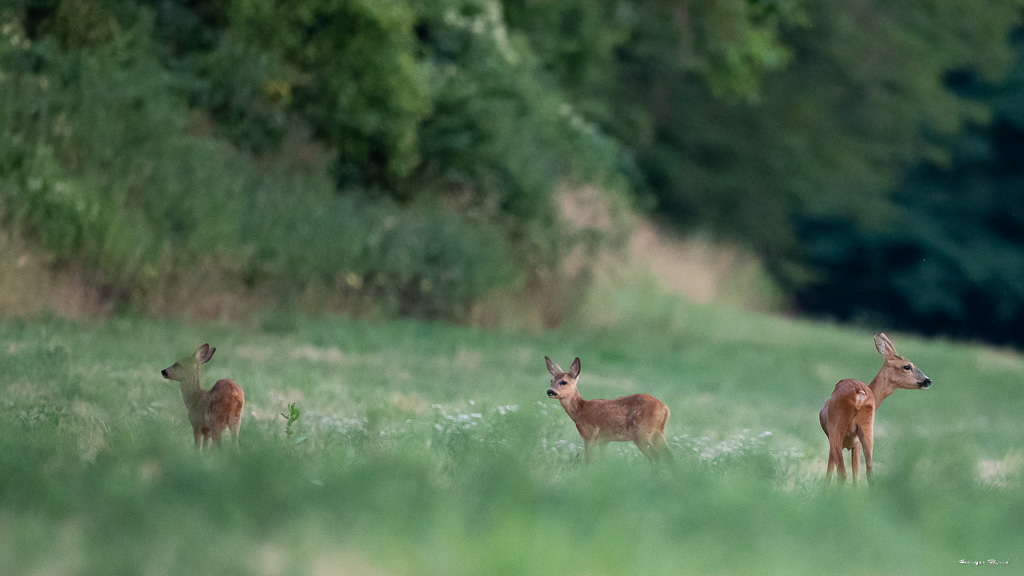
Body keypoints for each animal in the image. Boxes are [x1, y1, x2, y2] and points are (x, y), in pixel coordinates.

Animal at [819, 333, 931, 485]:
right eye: (907, 366)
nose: (928, 380)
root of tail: (860, 393)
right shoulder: (856, 443)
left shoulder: (843, 441)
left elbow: (831, 473)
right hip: (866, 430)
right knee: (868, 472)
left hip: (837, 429)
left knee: (842, 472)